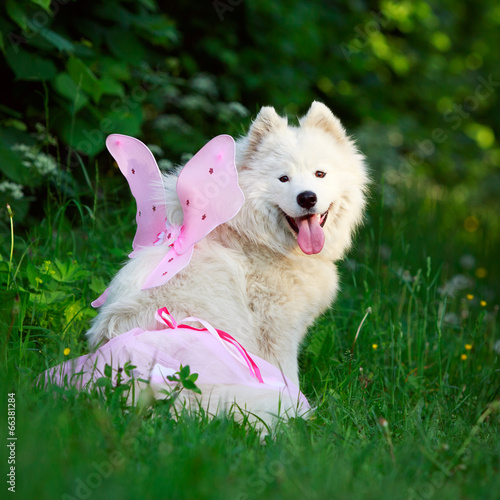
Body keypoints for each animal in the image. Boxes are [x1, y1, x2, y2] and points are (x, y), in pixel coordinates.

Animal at [85, 101, 368, 426]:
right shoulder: (277, 333)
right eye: (283, 178)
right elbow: (288, 376)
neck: (254, 239)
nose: (307, 198)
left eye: (320, 173)